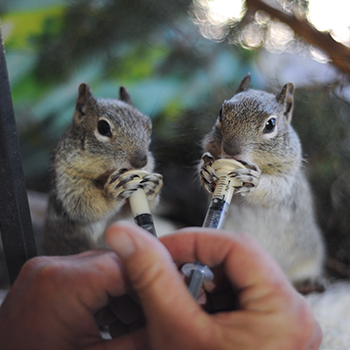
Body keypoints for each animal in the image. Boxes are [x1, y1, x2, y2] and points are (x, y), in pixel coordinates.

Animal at [44, 83, 163, 256]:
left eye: (149, 125)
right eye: (103, 127)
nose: (141, 161)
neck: (105, 175)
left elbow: (124, 213)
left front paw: (153, 187)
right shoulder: (67, 175)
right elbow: (80, 204)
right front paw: (111, 194)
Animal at [200, 74, 326, 290]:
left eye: (270, 124)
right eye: (221, 113)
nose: (231, 150)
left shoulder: (287, 176)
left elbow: (275, 190)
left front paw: (253, 180)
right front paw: (206, 171)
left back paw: (308, 284)